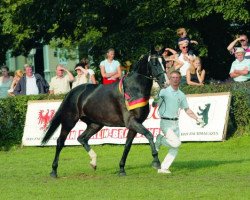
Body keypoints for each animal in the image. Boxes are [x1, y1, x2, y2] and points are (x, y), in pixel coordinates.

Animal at [42, 49, 168, 177]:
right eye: (154, 63)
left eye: (164, 62)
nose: (165, 82)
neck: (133, 90)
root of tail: (71, 92)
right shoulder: (131, 122)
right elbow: (149, 135)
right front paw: (156, 161)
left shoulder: (135, 124)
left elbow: (127, 146)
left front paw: (121, 169)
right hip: (69, 121)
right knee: (60, 142)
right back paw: (54, 171)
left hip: (95, 124)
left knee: (82, 138)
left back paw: (93, 162)